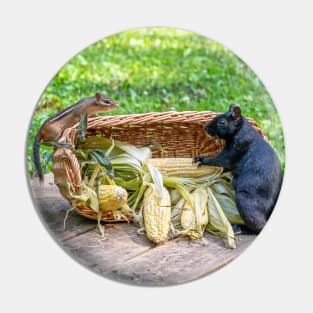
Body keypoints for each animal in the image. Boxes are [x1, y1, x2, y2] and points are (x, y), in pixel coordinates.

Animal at [194, 104, 282, 232]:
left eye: (221, 122)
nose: (206, 127)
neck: (240, 130)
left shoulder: (236, 149)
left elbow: (220, 160)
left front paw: (201, 159)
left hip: (246, 202)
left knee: (258, 226)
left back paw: (241, 227)